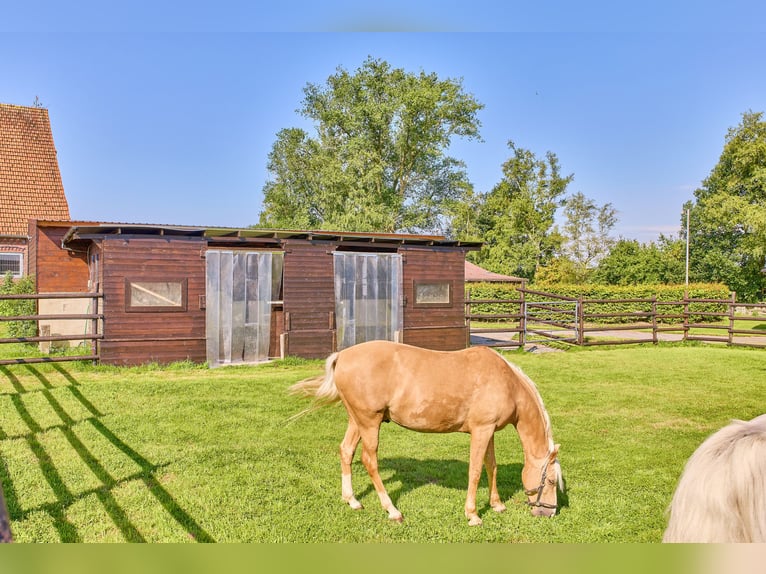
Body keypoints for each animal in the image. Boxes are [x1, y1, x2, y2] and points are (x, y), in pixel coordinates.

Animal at [290, 342, 564, 528]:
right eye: (551, 481)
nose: (549, 513)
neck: (507, 382)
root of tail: (342, 355)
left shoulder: (489, 432)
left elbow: (491, 466)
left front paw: (497, 504)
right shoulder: (481, 430)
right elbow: (476, 471)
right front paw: (473, 515)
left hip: (356, 420)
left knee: (346, 451)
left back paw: (352, 500)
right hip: (369, 422)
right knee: (370, 461)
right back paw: (392, 510)